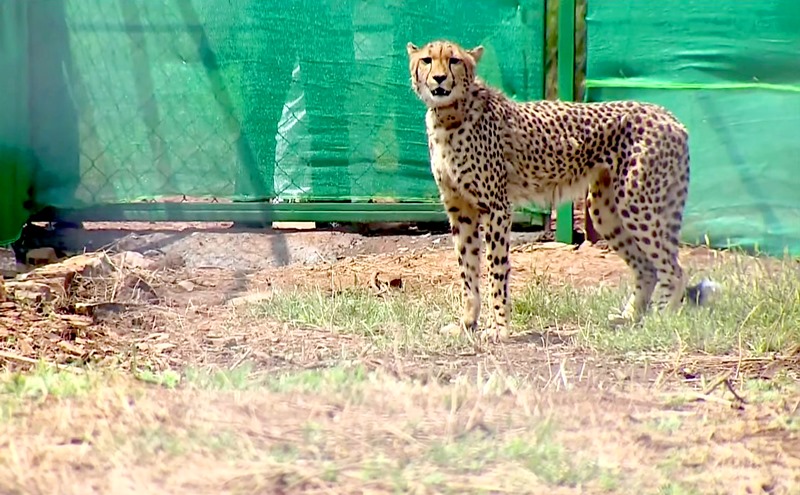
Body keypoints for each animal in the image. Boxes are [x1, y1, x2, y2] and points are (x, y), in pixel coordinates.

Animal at [410, 38, 692, 342]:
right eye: (427, 60)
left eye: (454, 60)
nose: (439, 78)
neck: (448, 115)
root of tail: (670, 117)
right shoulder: (459, 209)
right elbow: (467, 270)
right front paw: (466, 323)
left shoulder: (496, 207)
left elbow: (496, 269)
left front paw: (499, 328)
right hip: (605, 211)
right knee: (647, 268)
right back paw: (628, 317)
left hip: (637, 205)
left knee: (674, 269)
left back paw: (660, 320)